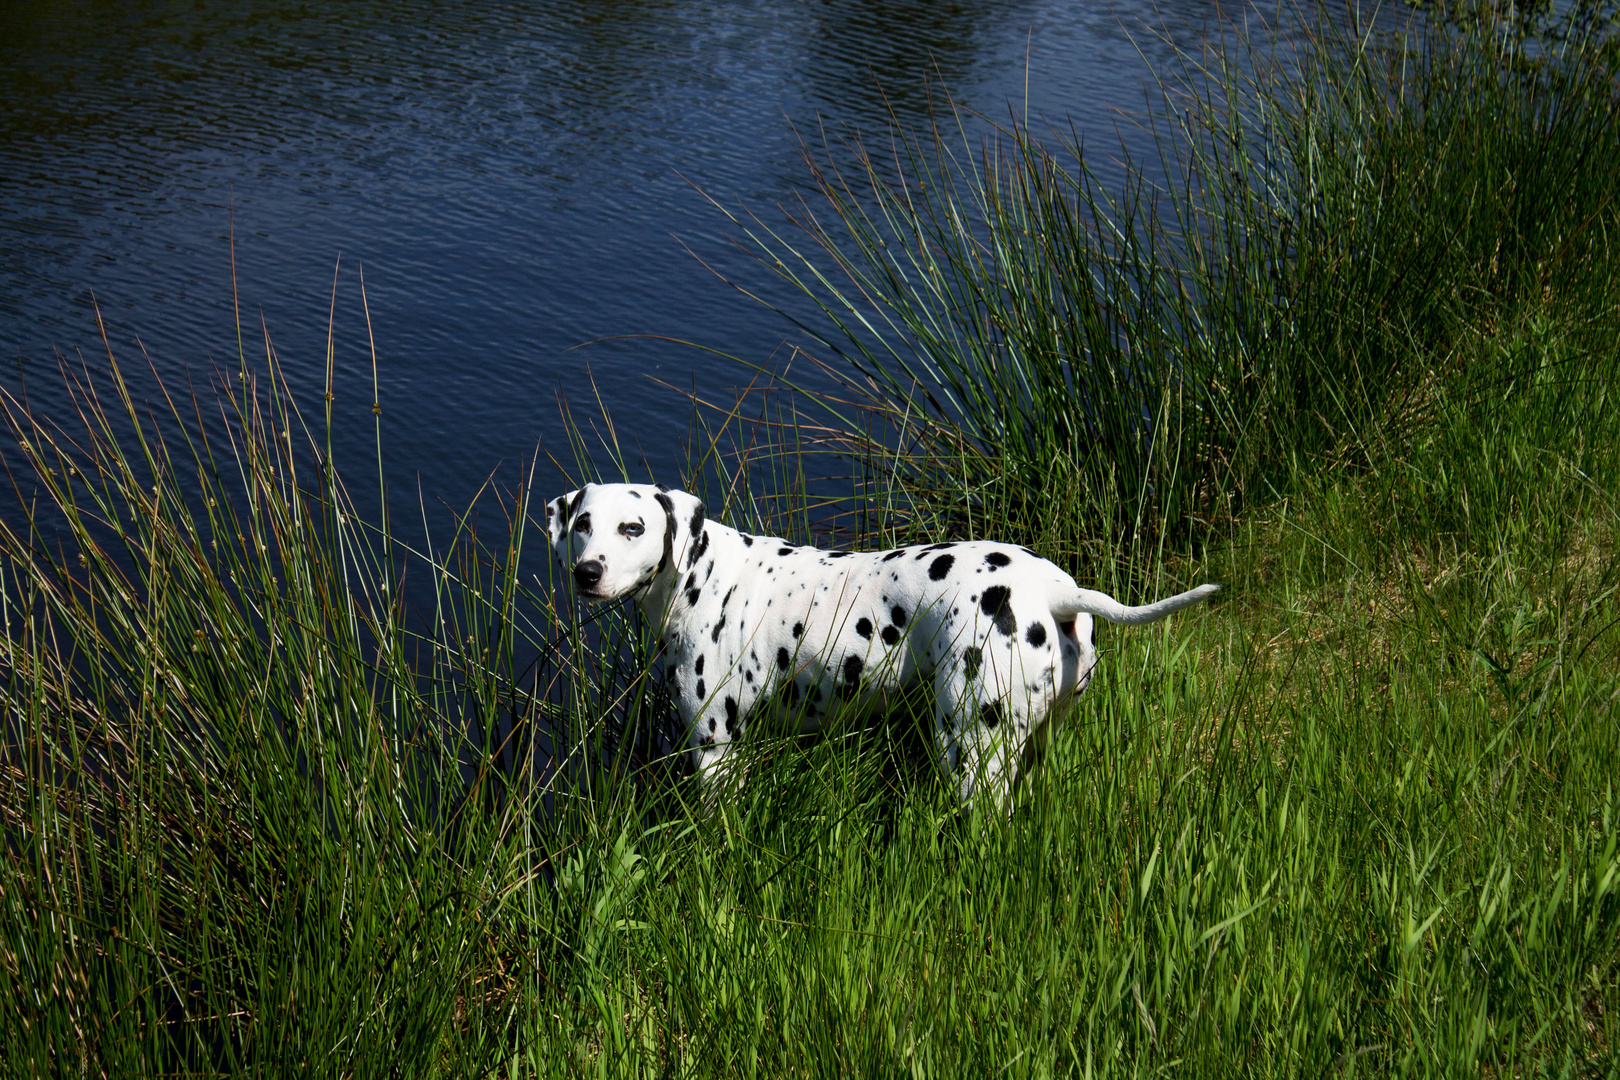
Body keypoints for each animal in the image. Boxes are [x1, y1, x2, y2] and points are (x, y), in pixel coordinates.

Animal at [547, 485, 1218, 806]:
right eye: (582, 523)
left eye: (632, 527)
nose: (586, 572)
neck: (701, 573)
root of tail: (1054, 588)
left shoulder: (715, 750)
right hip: (1029, 742)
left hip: (970, 750)